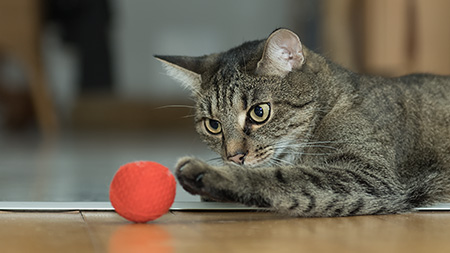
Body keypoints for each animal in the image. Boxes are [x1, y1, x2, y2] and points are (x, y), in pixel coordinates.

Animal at [156, 28, 450, 217]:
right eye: (213, 125)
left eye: (259, 112)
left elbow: (284, 177)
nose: (233, 157)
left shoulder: (370, 178)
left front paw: (210, 174)